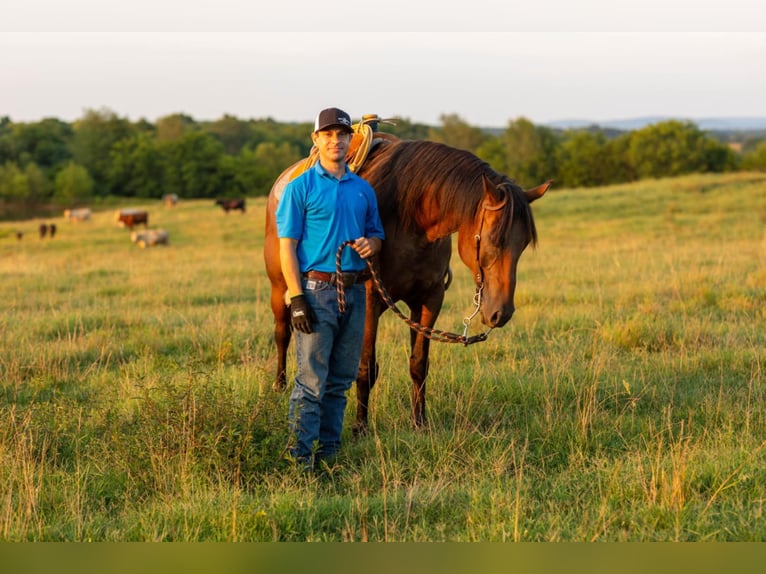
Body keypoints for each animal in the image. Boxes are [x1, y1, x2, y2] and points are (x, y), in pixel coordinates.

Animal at [266, 137, 552, 434]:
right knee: (283, 333)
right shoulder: (369, 300)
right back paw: (280, 384)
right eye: (492, 240)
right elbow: (366, 367)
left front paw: (419, 422)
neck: (412, 219)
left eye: (523, 244)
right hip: (280, 289)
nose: (501, 313)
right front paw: (360, 427)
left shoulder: (429, 299)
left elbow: (419, 364)